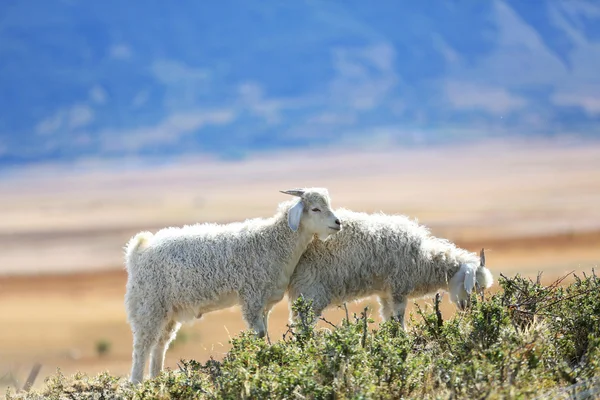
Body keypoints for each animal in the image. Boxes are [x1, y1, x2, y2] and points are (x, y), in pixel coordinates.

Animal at [123, 189, 340, 382]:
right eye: (315, 209)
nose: (338, 223)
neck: (271, 242)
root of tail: (138, 251)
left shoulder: (265, 303)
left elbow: (265, 332)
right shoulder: (251, 298)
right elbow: (258, 334)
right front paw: (257, 361)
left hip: (168, 311)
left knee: (160, 344)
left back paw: (157, 379)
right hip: (148, 306)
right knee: (142, 346)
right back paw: (137, 384)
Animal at [290, 209, 492, 328]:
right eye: (474, 285)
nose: (467, 308)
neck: (425, 258)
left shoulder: (385, 293)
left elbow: (389, 319)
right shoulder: (398, 290)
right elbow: (399, 319)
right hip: (311, 291)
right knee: (303, 326)